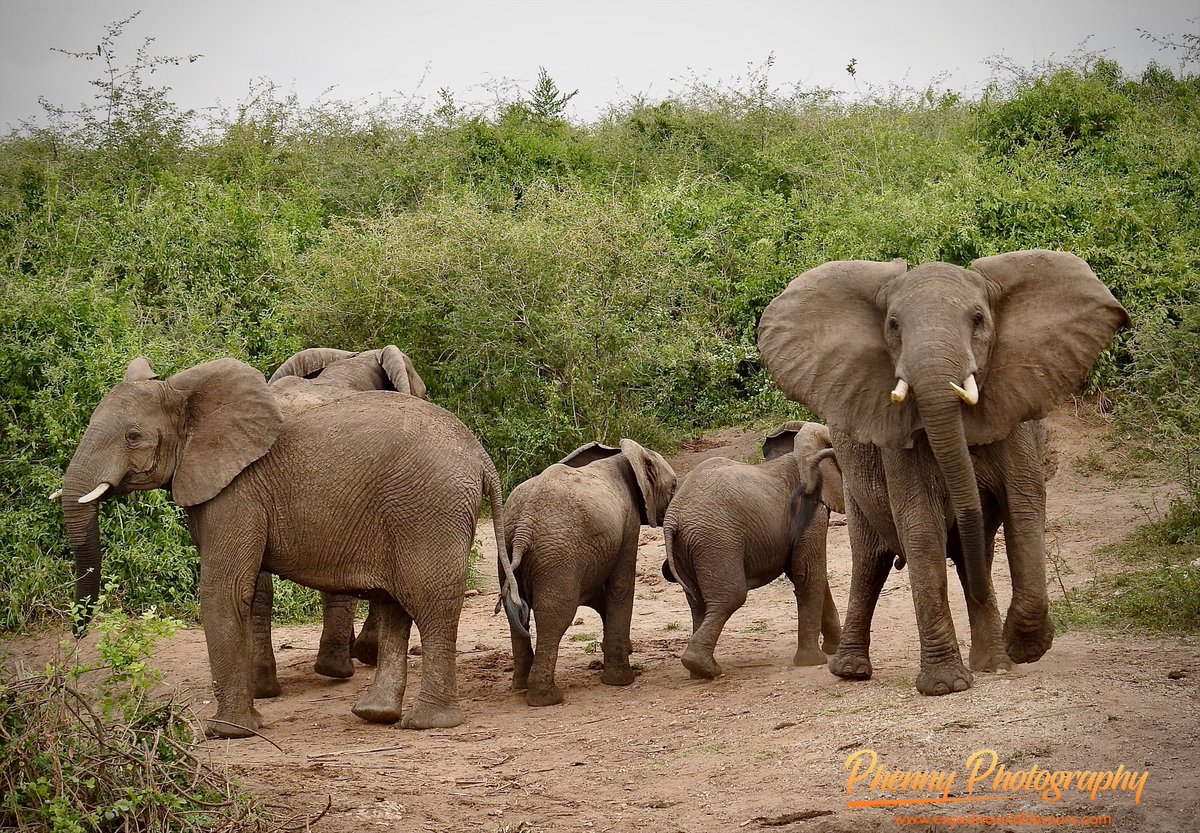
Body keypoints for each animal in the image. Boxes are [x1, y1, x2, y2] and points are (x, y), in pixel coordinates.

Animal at [501, 439, 676, 706]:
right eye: (674, 486)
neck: (624, 457)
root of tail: (524, 524)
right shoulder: (629, 523)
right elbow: (620, 586)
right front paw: (622, 680)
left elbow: (597, 595)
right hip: (558, 553)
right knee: (555, 613)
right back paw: (546, 698)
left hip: (506, 546)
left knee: (516, 613)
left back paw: (521, 686)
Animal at [661, 421, 843, 679]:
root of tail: (673, 517)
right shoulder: (809, 510)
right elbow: (808, 574)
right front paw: (813, 661)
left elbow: (812, 575)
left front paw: (835, 649)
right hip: (717, 540)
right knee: (730, 598)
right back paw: (704, 668)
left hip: (688, 547)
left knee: (698, 603)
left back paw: (698, 671)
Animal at [757, 250, 1128, 696]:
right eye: (893, 325)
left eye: (978, 320)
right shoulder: (896, 434)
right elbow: (919, 521)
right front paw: (947, 685)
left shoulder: (1015, 415)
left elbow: (1024, 506)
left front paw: (1020, 650)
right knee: (870, 563)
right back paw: (852, 671)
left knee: (972, 557)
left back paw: (993, 662)